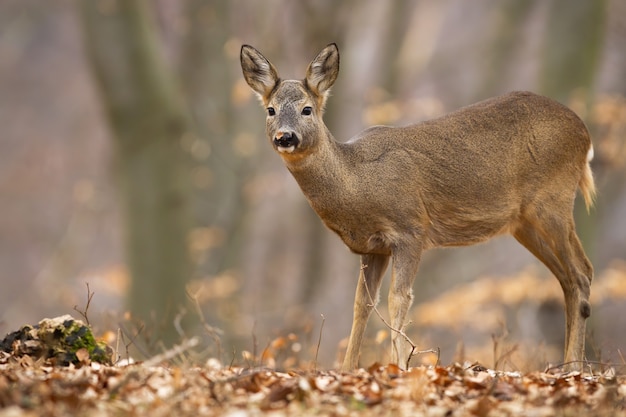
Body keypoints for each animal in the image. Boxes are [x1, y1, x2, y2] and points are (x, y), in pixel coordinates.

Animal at [240, 43, 596, 370]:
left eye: (307, 110)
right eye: (270, 110)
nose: (285, 137)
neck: (358, 183)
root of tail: (585, 135)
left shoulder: (411, 229)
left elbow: (399, 299)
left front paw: (400, 365)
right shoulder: (374, 247)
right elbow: (362, 305)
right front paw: (347, 369)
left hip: (553, 200)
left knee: (582, 273)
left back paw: (574, 368)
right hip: (523, 222)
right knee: (567, 279)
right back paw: (569, 365)